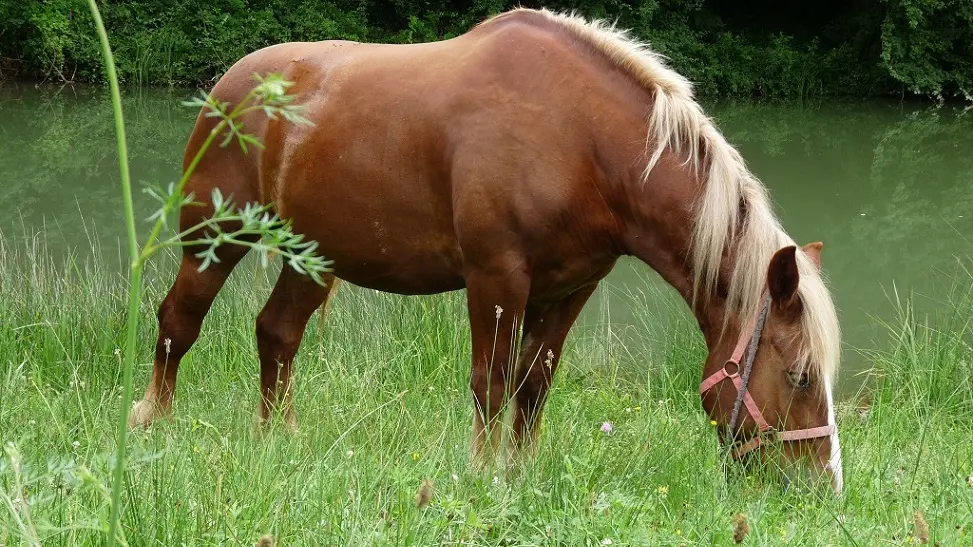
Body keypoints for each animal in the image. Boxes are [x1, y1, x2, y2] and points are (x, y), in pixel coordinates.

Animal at [129, 7, 844, 492]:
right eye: (801, 376)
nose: (822, 489)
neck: (582, 142)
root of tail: (232, 81)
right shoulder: (495, 277)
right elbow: (491, 383)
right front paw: (481, 475)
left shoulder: (569, 288)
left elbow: (534, 385)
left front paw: (518, 476)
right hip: (214, 238)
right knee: (178, 322)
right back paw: (151, 424)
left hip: (313, 258)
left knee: (277, 332)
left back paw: (279, 439)